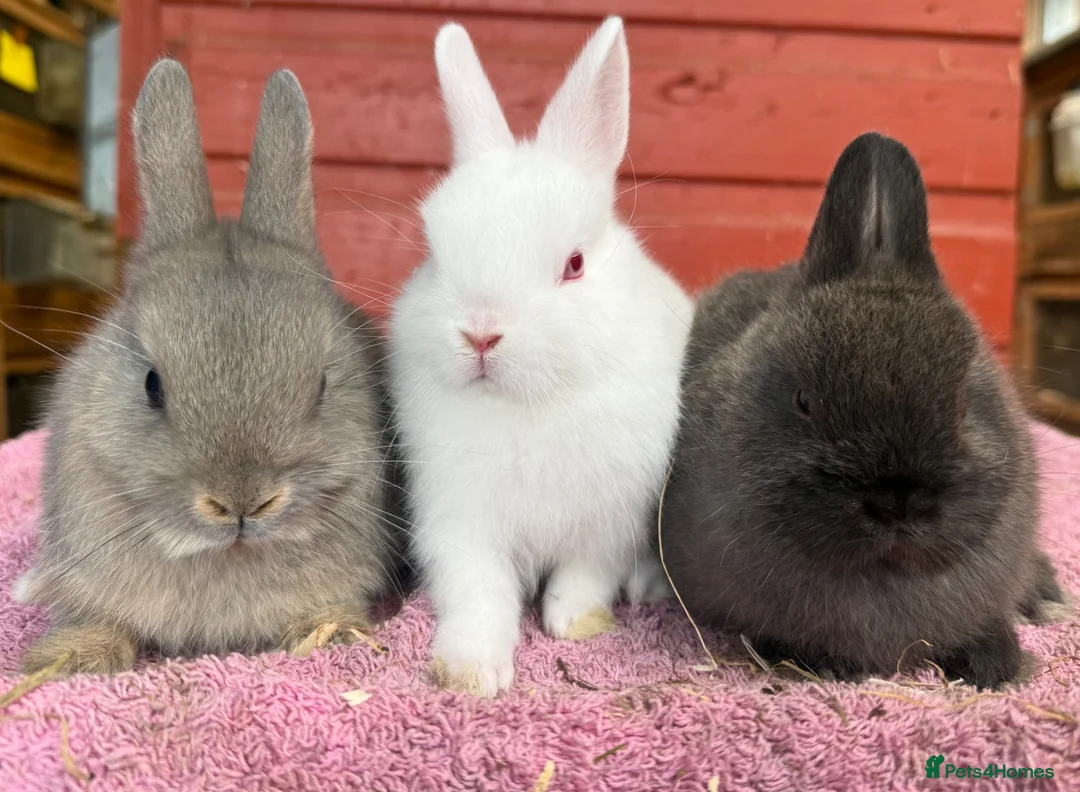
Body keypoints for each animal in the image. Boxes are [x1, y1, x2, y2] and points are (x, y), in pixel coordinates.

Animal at [388, 17, 693, 696]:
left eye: (574, 264)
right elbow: (479, 596)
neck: (527, 404)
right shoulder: (460, 524)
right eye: (435, 255)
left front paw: (576, 624)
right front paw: (470, 671)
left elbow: (582, 578)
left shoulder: (608, 521)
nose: (481, 334)